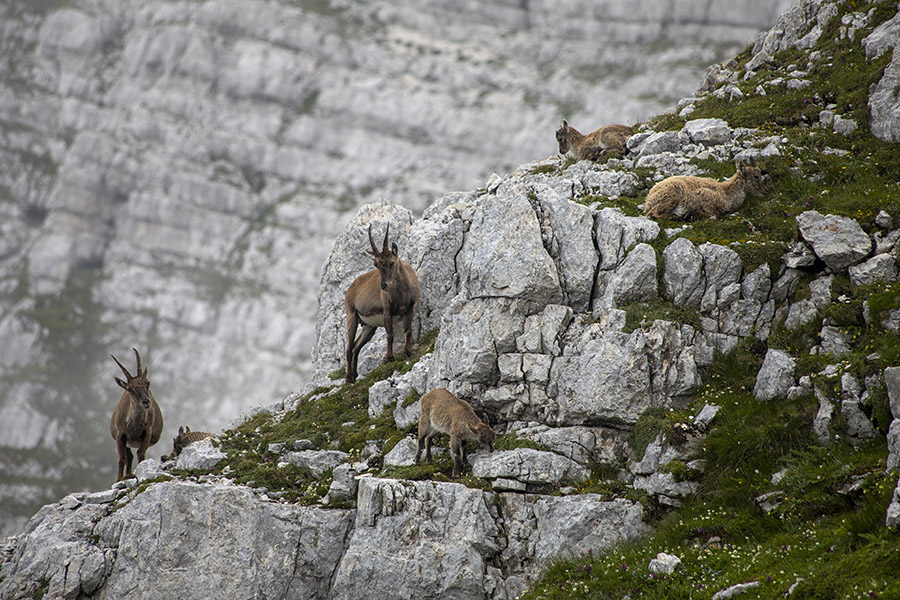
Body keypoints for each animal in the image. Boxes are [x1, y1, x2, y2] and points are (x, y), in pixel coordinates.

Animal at [108, 348, 163, 481]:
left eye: (148, 383)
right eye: (130, 389)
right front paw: (118, 479)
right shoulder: (120, 435)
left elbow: (141, 454)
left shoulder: (147, 433)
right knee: (128, 457)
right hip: (126, 442)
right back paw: (127, 475)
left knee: (132, 456)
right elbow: (121, 459)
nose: (146, 401)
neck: (134, 427)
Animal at [344, 223, 420, 383]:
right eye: (376, 264)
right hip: (351, 316)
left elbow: (408, 331)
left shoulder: (409, 310)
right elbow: (390, 335)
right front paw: (388, 358)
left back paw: (354, 375)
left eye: (391, 262)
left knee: (355, 347)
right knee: (349, 347)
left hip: (369, 326)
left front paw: (408, 352)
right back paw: (348, 377)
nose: (383, 286)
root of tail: (350, 289)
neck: (401, 293)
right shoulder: (387, 312)